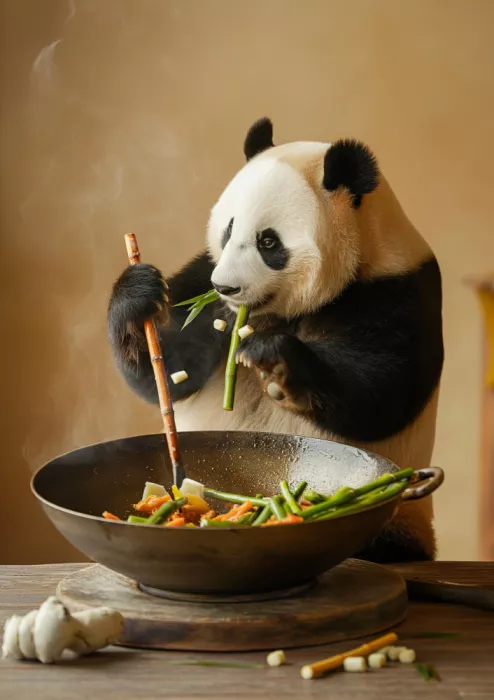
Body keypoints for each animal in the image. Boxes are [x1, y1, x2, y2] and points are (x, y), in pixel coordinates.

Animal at [108, 118, 444, 563]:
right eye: (229, 229)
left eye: (269, 242)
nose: (226, 287)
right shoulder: (203, 278)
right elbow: (172, 367)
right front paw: (139, 296)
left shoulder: (396, 288)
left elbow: (381, 391)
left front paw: (274, 361)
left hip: (401, 521)